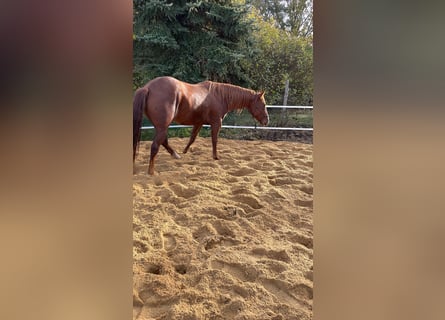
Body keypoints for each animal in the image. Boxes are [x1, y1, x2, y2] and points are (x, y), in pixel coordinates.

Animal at [132, 76, 268, 175]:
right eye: (263, 105)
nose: (267, 121)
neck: (219, 96)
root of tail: (147, 87)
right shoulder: (216, 123)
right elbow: (214, 140)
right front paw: (216, 156)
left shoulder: (199, 123)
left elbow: (192, 138)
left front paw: (185, 151)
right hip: (163, 126)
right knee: (155, 146)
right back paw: (151, 172)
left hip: (161, 127)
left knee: (163, 141)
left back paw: (175, 155)